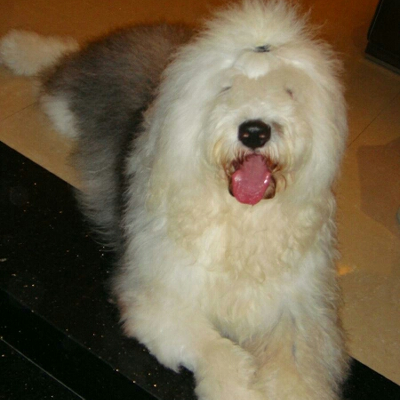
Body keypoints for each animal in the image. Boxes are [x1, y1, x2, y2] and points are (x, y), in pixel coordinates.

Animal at [0, 1, 349, 398]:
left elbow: (297, 367)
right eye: (225, 88)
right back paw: (18, 47)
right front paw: (235, 385)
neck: (239, 219)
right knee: (59, 66)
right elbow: (209, 344)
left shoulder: (300, 313)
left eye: (289, 91)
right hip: (68, 103)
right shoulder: (157, 295)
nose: (254, 131)